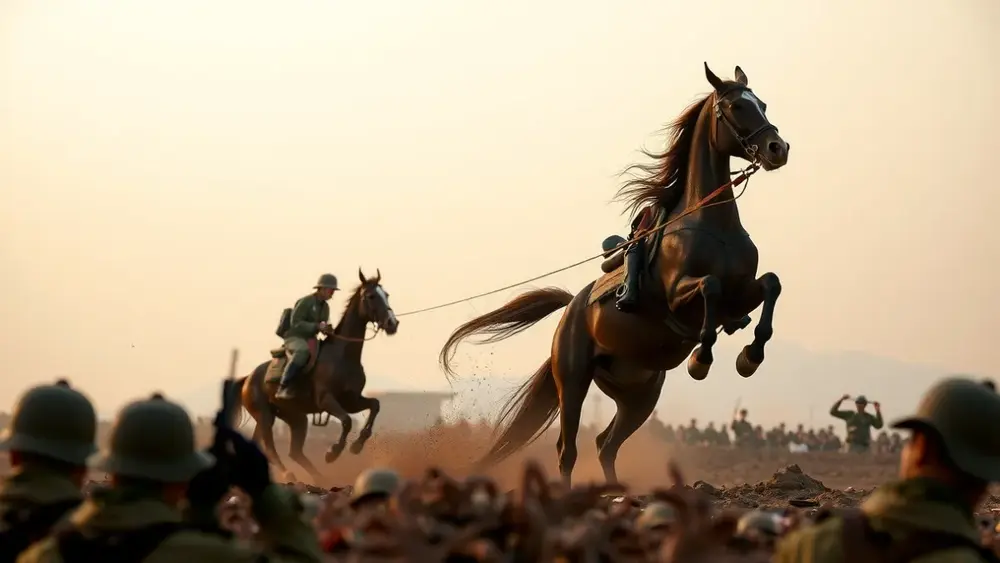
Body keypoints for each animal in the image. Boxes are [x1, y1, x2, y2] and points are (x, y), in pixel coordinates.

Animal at [231, 269, 399, 482]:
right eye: (371, 296)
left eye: (386, 295)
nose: (392, 323)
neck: (343, 356)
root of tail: (248, 378)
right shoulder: (326, 400)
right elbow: (346, 421)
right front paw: (333, 452)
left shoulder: (351, 401)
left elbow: (374, 406)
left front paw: (357, 445)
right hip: (265, 416)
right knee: (270, 447)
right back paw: (289, 474)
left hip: (295, 418)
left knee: (293, 451)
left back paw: (320, 478)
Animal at [439, 63, 790, 485]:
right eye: (737, 106)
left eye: (763, 104)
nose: (777, 149)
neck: (711, 224)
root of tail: (570, 309)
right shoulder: (679, 298)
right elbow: (709, 286)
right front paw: (701, 359)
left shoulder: (740, 297)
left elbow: (770, 284)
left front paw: (750, 355)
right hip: (573, 380)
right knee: (568, 449)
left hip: (639, 394)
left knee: (605, 444)